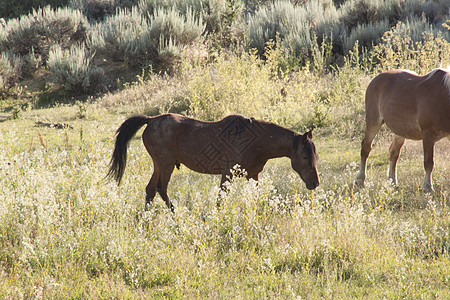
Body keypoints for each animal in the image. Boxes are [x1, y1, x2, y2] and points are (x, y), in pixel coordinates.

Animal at [108, 113, 320, 212]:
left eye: (315, 157)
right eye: (305, 157)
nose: (315, 183)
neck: (256, 141)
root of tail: (151, 120)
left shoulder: (253, 175)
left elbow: (256, 195)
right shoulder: (227, 174)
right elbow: (220, 200)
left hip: (160, 165)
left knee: (151, 189)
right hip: (165, 164)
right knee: (160, 188)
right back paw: (175, 213)